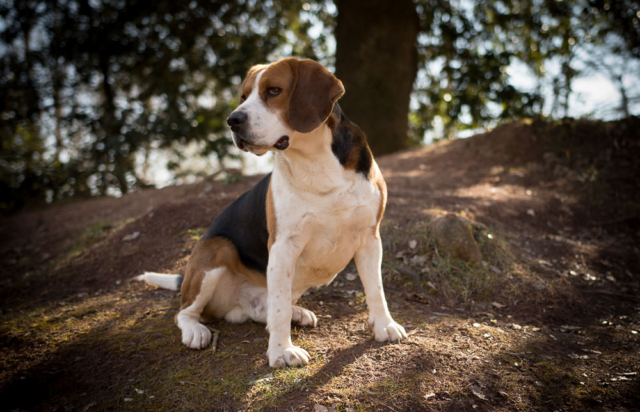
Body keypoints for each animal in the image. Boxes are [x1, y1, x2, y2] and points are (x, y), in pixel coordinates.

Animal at [138, 57, 408, 366]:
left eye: (274, 91)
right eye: (243, 96)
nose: (233, 120)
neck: (315, 161)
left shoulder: (369, 238)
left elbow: (376, 290)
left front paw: (384, 325)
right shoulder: (282, 248)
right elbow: (278, 309)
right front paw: (282, 352)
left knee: (262, 310)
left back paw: (296, 313)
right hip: (217, 249)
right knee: (184, 312)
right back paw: (196, 330)